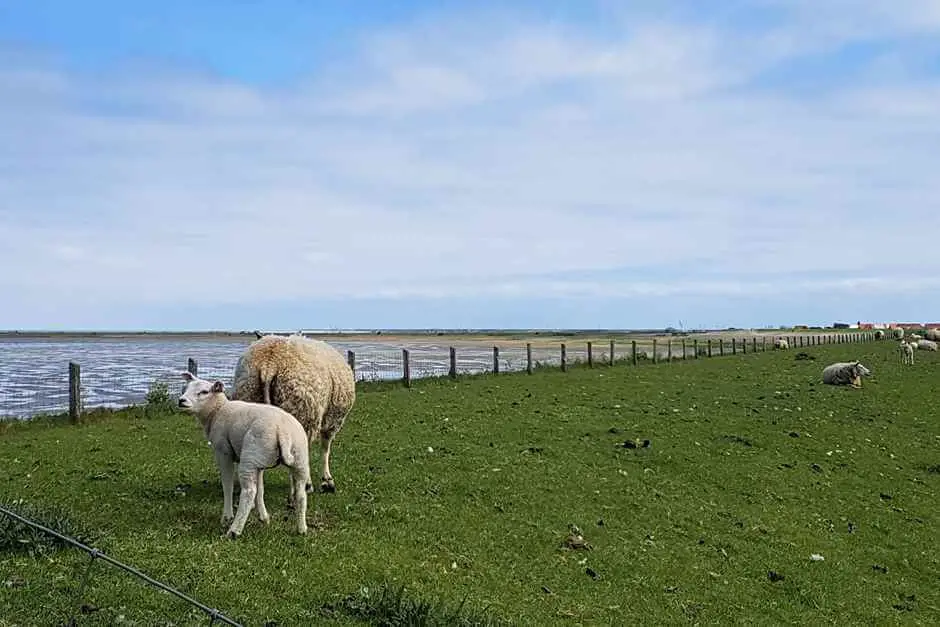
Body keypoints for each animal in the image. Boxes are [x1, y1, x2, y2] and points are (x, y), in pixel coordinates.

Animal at [174, 372, 310, 540]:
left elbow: (228, 485)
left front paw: (227, 516)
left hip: (250, 458)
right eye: (185, 388)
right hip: (294, 458)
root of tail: (282, 430)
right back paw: (302, 528)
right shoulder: (259, 463)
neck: (216, 412)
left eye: (204, 392)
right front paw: (264, 517)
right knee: (300, 494)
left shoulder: (223, 452)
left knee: (249, 492)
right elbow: (261, 488)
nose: (181, 401)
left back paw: (234, 530)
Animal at [232, 332, 356, 498]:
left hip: (248, 399)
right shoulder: (333, 420)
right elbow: (325, 449)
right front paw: (327, 481)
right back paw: (304, 487)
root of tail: (269, 363)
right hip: (301, 412)